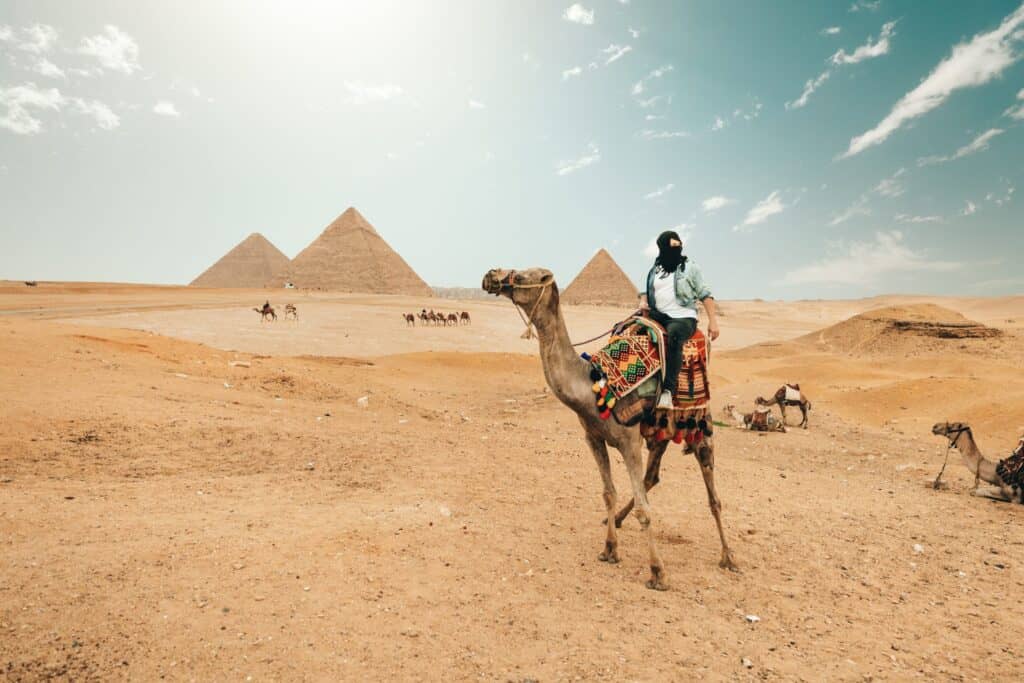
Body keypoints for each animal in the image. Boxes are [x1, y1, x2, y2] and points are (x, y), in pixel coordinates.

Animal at [483, 270, 741, 589]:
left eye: (522, 275)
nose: (490, 276)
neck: (592, 385)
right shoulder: (594, 437)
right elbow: (608, 492)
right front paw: (609, 549)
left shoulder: (629, 440)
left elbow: (644, 509)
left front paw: (658, 572)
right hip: (659, 431)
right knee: (652, 476)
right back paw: (615, 519)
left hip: (700, 427)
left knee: (712, 496)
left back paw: (729, 557)